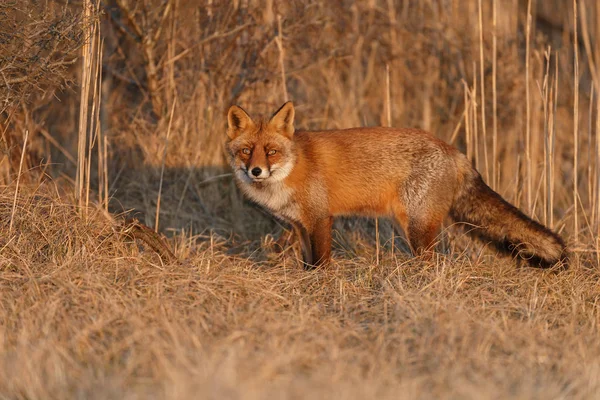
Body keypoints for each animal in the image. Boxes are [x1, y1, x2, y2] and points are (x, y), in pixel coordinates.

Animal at [226, 101, 568, 268]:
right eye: (246, 151)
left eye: (271, 151)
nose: (256, 170)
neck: (292, 168)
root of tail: (456, 152)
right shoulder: (300, 225)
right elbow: (306, 262)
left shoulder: (321, 218)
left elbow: (321, 263)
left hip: (416, 227)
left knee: (434, 263)